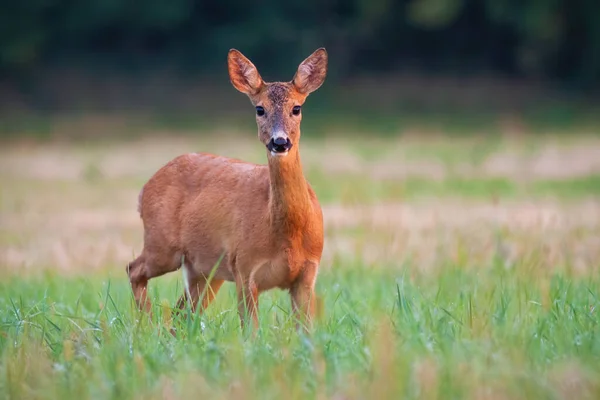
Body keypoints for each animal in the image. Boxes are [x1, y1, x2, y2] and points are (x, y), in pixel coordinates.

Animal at [124, 47, 326, 332]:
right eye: (260, 109)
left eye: (296, 108)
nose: (279, 142)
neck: (288, 234)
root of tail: (144, 189)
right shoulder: (244, 268)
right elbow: (251, 332)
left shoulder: (307, 275)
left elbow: (306, 332)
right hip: (162, 244)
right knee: (134, 269)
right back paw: (149, 325)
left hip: (204, 269)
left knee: (181, 312)